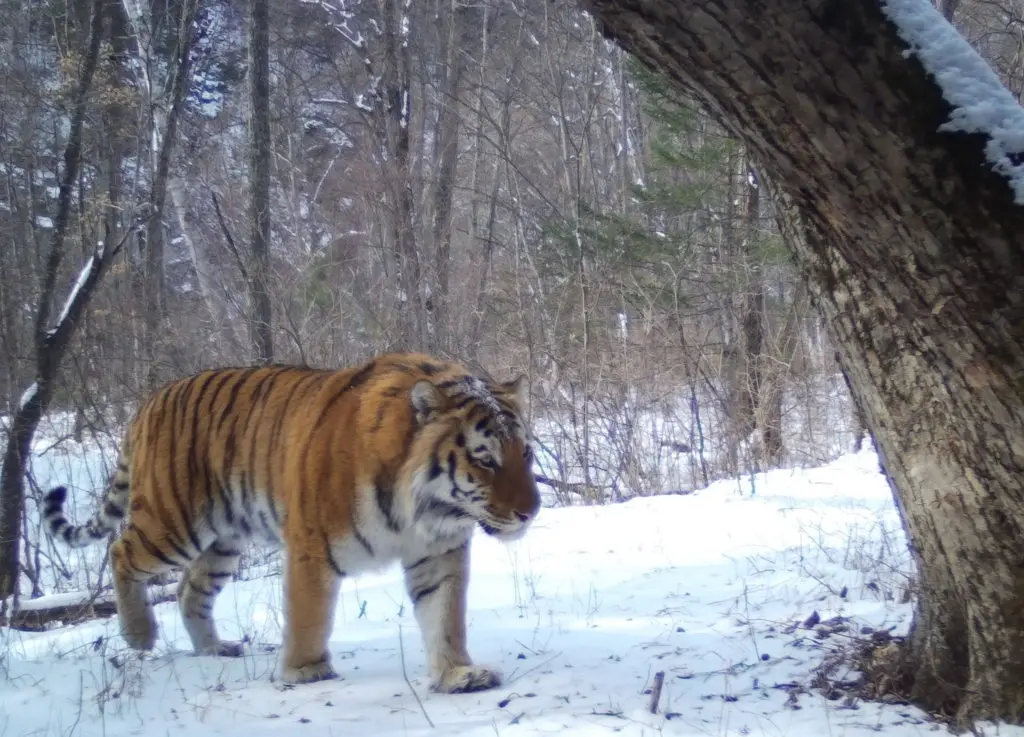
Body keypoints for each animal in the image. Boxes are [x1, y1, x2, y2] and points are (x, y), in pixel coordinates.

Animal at [44, 352, 544, 691]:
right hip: (173, 523)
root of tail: (149, 401)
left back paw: (214, 648)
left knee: (190, 589)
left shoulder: (438, 551)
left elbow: (444, 615)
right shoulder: (312, 544)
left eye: (526, 453)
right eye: (485, 460)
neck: (423, 509)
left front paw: (459, 672)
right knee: (121, 551)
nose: (531, 511)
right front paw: (306, 671)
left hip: (224, 540)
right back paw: (139, 634)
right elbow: (309, 613)